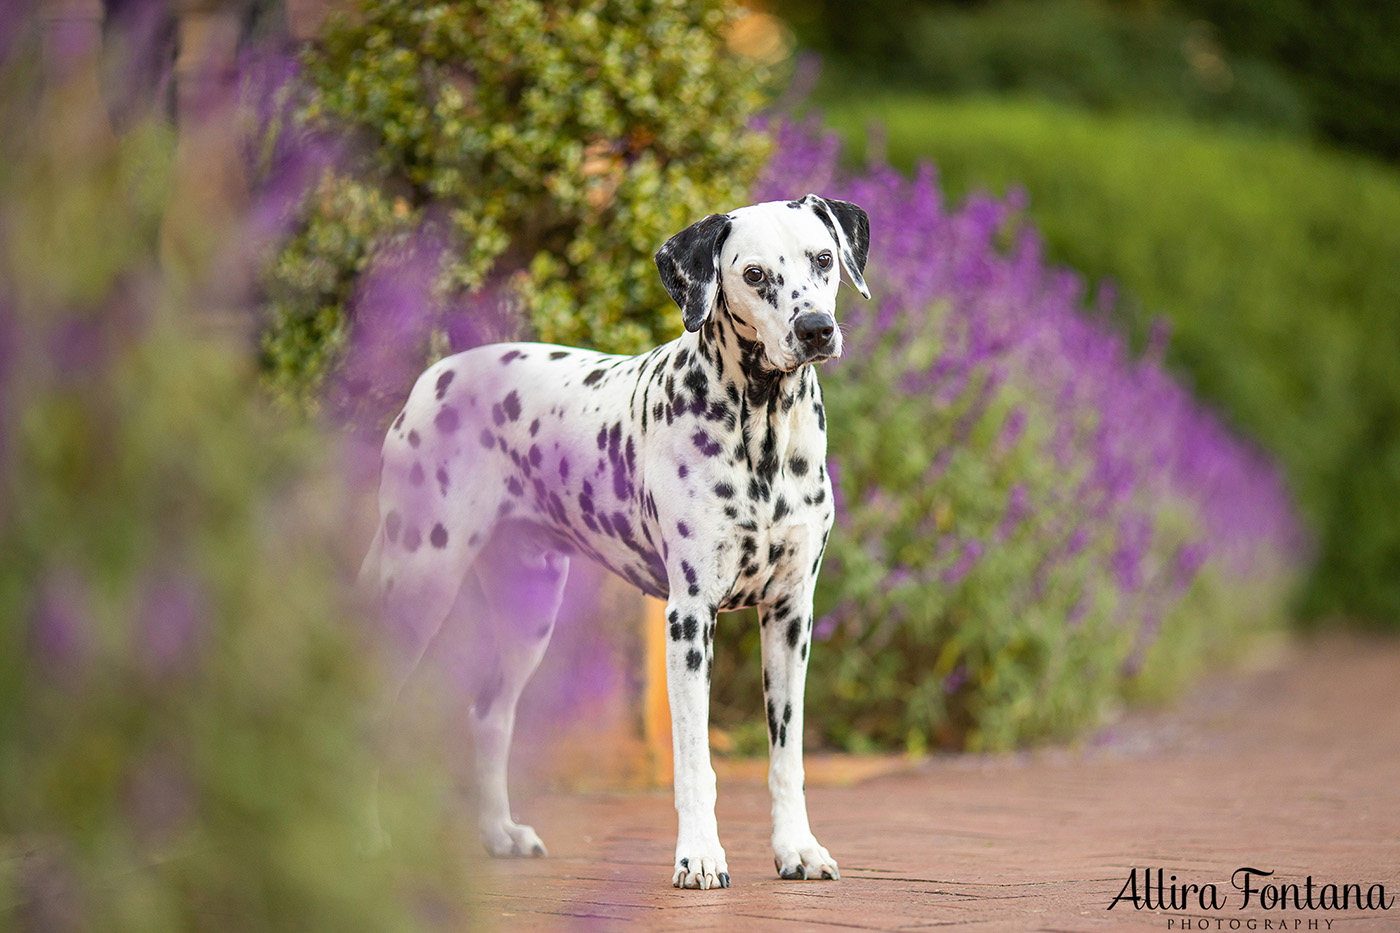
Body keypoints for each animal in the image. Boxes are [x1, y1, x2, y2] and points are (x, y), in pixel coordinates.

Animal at [361, 190, 862, 885]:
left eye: (823, 258)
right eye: (756, 274)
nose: (815, 329)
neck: (761, 430)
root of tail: (430, 380)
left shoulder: (790, 617)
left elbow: (786, 756)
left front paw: (798, 849)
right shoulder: (689, 621)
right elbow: (694, 762)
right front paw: (699, 856)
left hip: (530, 614)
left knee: (489, 715)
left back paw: (499, 833)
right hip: (418, 584)